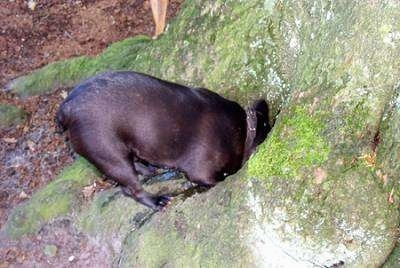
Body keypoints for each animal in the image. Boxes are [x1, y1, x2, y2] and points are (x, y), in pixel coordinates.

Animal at [56, 71, 270, 209]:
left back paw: (150, 169)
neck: (244, 129)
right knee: (131, 188)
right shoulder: (202, 172)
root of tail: (66, 109)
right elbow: (217, 178)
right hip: (109, 153)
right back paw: (156, 201)